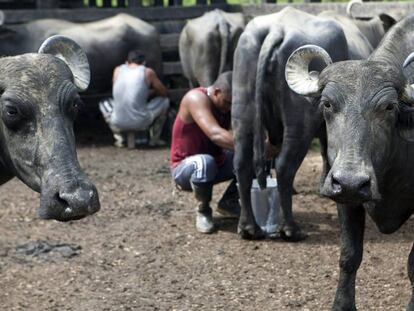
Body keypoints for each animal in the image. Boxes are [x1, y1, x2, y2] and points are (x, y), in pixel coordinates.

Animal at [233, 6, 376, 241]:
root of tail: (278, 28)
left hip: (242, 113)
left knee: (241, 163)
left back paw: (248, 227)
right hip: (299, 125)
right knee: (284, 167)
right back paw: (291, 228)